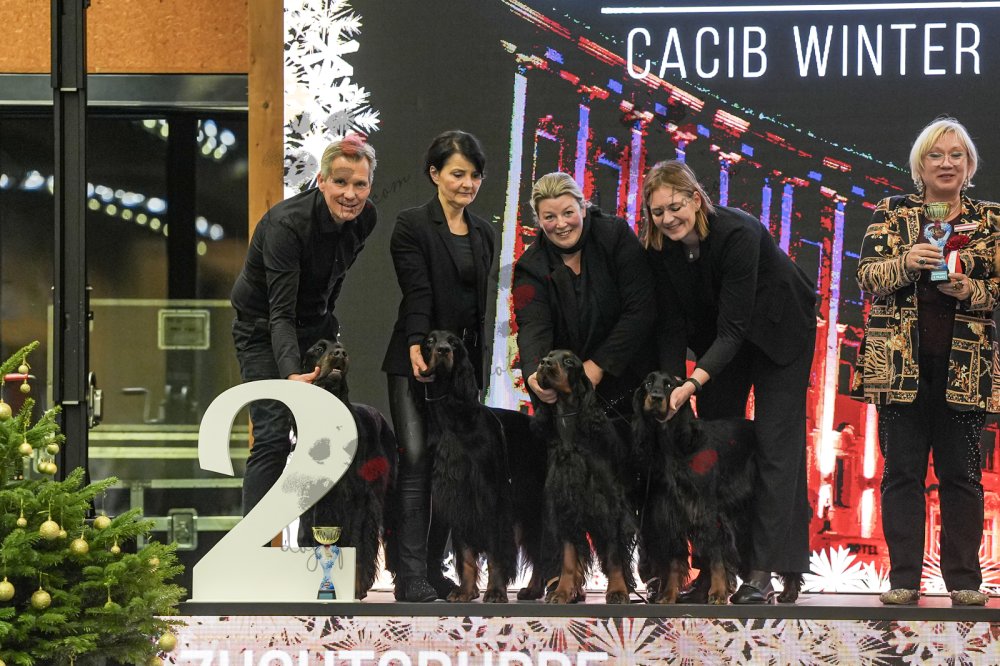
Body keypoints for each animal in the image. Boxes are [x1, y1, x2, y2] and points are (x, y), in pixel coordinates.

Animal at [296, 339, 397, 599]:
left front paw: (354, 586)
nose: (340, 353)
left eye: (340, 345)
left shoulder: (356, 499)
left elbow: (355, 543)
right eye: (319, 348)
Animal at [418, 330, 548, 602]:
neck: (455, 417)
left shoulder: (491, 499)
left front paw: (496, 591)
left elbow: (496, 553)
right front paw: (466, 591)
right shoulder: (458, 498)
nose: (444, 350)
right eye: (430, 341)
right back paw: (533, 589)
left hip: (533, 505)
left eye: (454, 342)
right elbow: (466, 555)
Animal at [533, 349, 637, 604]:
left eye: (569, 361)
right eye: (549, 355)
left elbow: (613, 555)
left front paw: (618, 591)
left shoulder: (608, 505)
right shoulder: (566, 505)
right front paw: (562, 591)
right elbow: (569, 557)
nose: (544, 363)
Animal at [631, 371, 802, 604]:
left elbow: (715, 556)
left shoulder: (705, 509)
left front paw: (719, 593)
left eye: (668, 385)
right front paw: (668, 595)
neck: (675, 444)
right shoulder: (673, 512)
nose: (656, 397)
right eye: (648, 383)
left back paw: (788, 591)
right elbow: (675, 561)